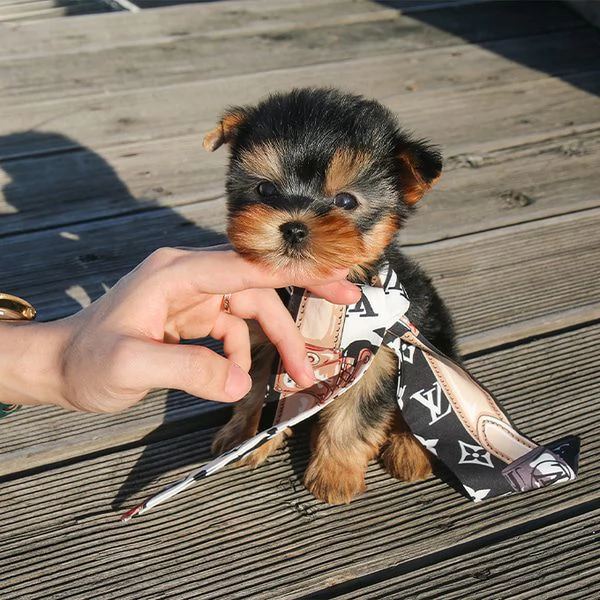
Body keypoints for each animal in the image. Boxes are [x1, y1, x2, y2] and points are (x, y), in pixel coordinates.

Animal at [204, 86, 458, 504]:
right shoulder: (269, 338)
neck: (313, 295)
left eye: (345, 201)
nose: (293, 227)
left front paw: (334, 474)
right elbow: (256, 389)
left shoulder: (376, 359)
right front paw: (244, 437)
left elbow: (354, 417)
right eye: (266, 190)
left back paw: (411, 450)